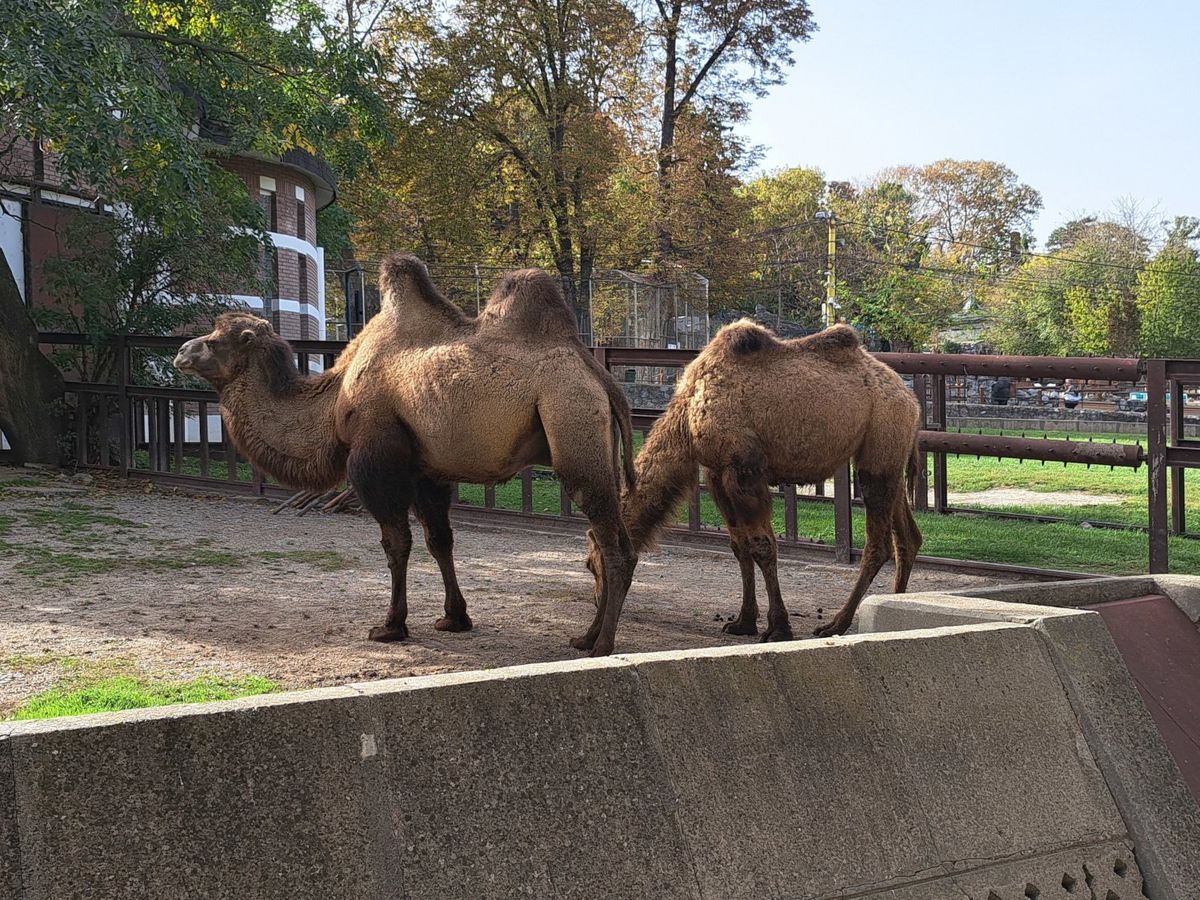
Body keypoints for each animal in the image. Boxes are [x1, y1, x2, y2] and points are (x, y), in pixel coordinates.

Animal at [175, 255, 638, 656]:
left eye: (215, 341)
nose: (182, 351)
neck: (336, 396)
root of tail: (602, 379)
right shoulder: (425, 469)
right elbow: (440, 540)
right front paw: (455, 618)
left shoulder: (375, 458)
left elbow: (396, 543)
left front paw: (390, 626)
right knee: (613, 543)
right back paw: (585, 636)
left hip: (571, 418)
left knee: (611, 543)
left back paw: (601, 643)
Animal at [588, 319, 922, 641]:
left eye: (592, 564)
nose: (597, 603)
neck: (688, 417)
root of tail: (912, 401)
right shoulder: (717, 473)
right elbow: (739, 546)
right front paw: (743, 621)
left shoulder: (744, 470)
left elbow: (762, 546)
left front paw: (778, 627)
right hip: (887, 457)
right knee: (907, 536)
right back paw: (895, 609)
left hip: (880, 446)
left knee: (878, 543)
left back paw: (835, 624)